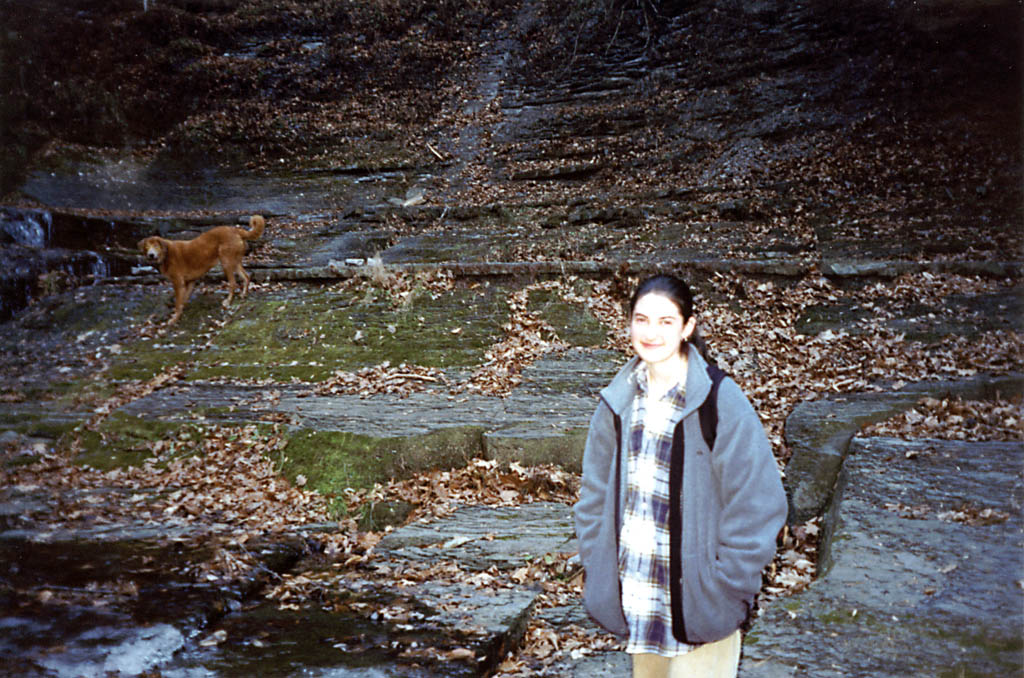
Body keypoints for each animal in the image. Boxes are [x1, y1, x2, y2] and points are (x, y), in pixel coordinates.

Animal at [138, 215, 266, 327]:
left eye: (156, 246)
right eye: (147, 247)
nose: (151, 255)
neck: (166, 254)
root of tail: (235, 230)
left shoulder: (178, 283)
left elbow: (178, 303)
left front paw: (174, 319)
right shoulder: (190, 282)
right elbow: (183, 300)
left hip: (226, 263)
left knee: (233, 283)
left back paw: (228, 301)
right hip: (235, 263)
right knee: (246, 276)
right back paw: (244, 294)